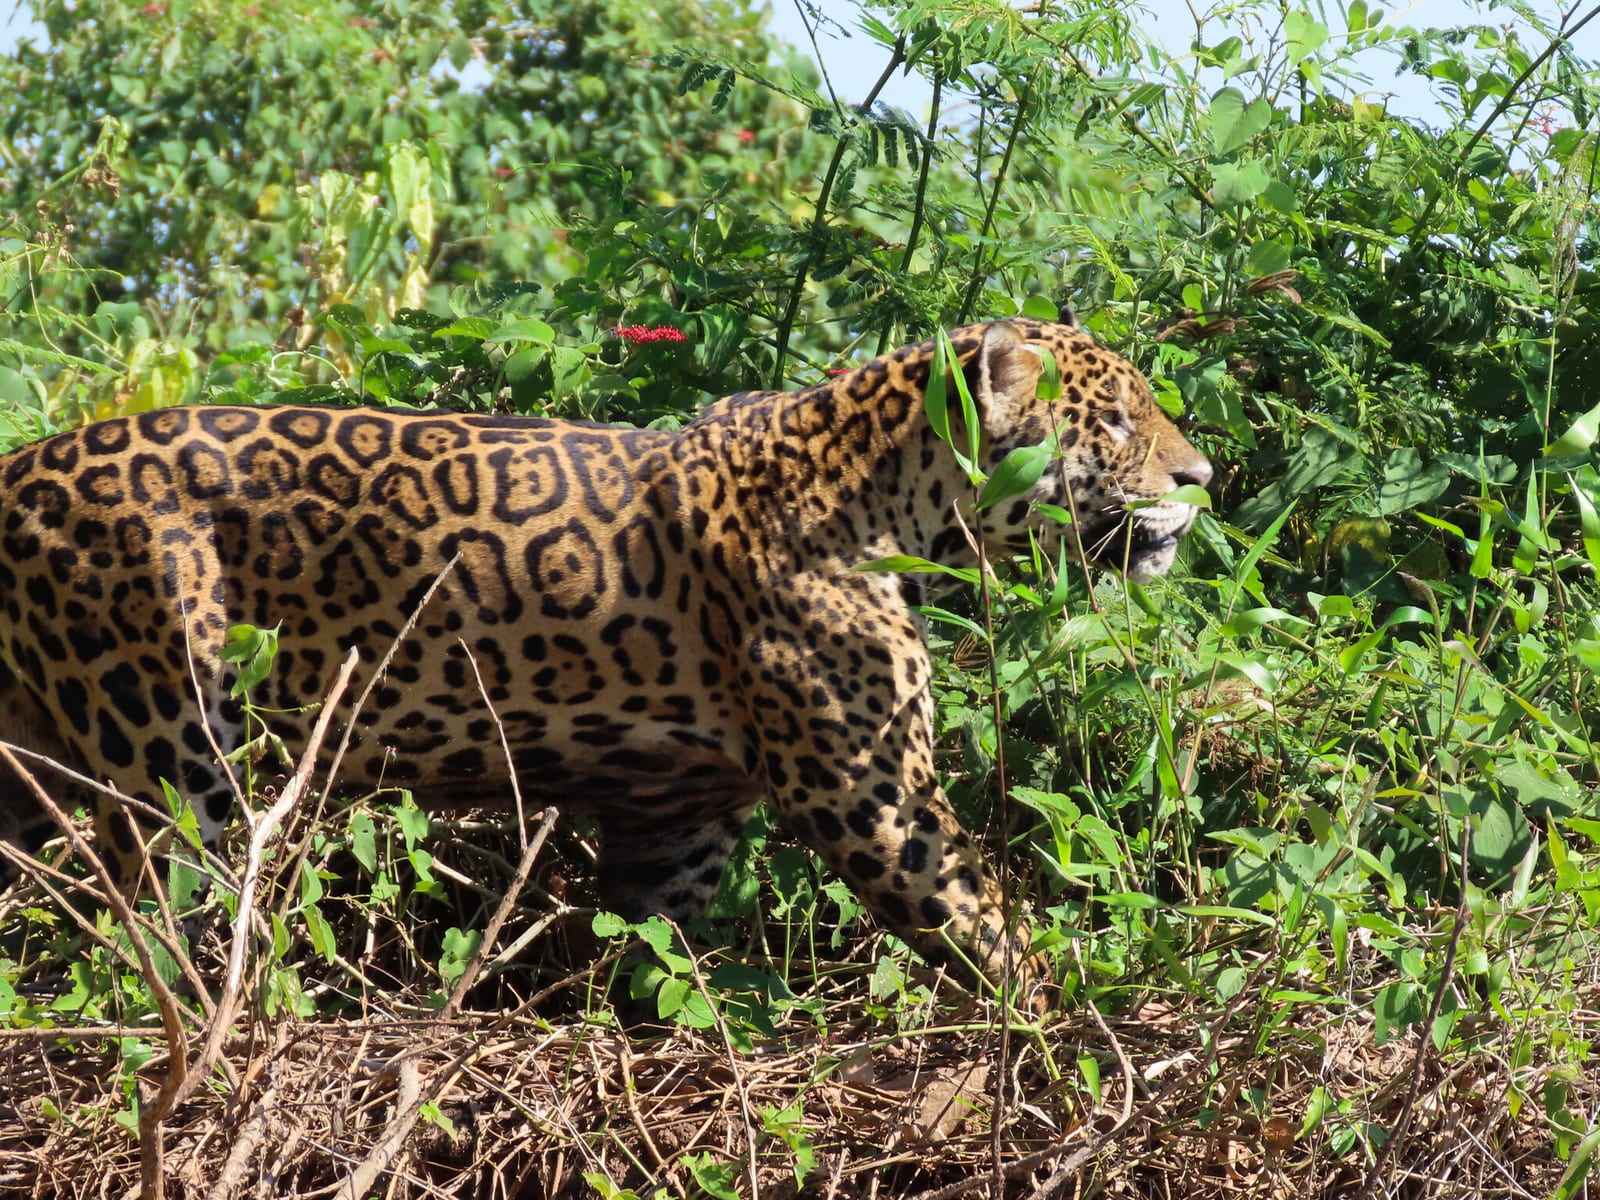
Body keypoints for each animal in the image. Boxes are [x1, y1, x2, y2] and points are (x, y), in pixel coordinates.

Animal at [0, 317, 1210, 1000]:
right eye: (1117, 421)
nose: (1203, 480)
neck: (891, 501)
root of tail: (16, 471)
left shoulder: (674, 819)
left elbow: (647, 957)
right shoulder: (875, 797)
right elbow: (989, 924)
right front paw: (1088, 1025)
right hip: (173, 747)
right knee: (149, 922)